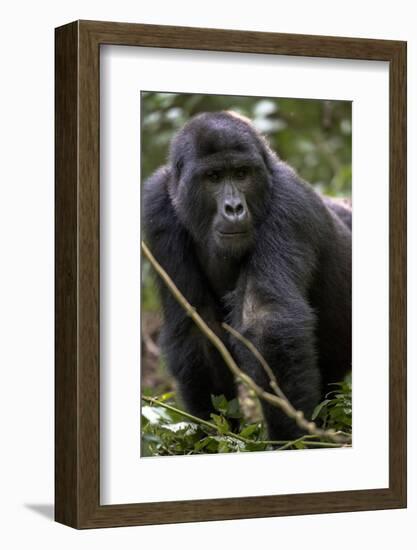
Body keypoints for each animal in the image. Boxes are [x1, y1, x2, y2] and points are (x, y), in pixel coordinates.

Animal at [144, 111, 352, 440]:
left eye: (242, 174)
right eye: (214, 177)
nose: (234, 208)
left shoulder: (289, 204)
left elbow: (267, 320)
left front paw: (292, 439)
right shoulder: (156, 209)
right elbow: (197, 328)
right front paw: (214, 435)